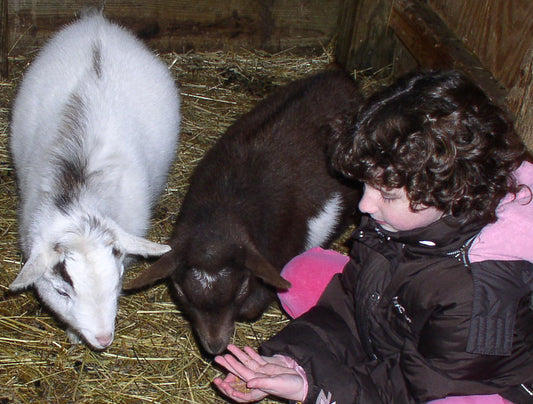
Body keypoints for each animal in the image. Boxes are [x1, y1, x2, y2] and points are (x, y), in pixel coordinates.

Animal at [124, 69, 362, 354]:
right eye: (180, 293)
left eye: (241, 289)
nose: (215, 347)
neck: (222, 203)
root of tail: (340, 76)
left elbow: (253, 306)